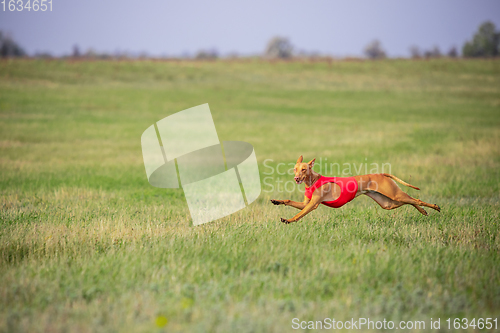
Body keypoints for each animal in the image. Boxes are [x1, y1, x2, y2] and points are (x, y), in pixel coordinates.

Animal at [272, 156, 440, 223]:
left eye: (304, 169)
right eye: (295, 169)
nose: (296, 178)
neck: (312, 181)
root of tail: (381, 174)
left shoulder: (313, 205)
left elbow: (298, 215)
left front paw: (288, 220)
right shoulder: (305, 203)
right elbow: (288, 200)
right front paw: (276, 201)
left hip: (394, 195)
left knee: (416, 199)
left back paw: (434, 207)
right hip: (388, 203)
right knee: (411, 201)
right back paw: (423, 211)